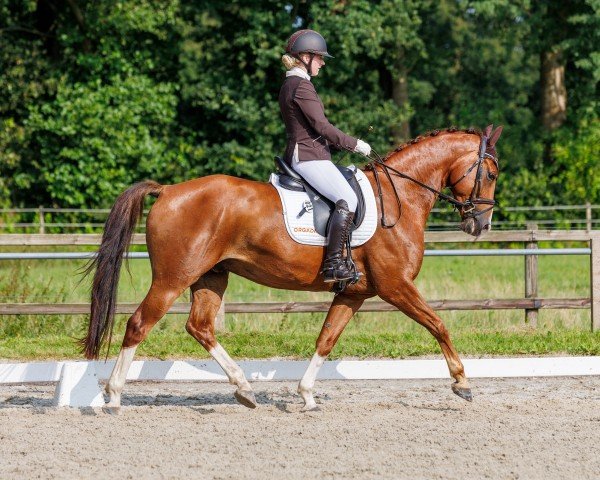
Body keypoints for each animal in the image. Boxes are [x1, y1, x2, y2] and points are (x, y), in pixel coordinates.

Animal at [81, 124, 502, 412]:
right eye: (492, 174)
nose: (481, 225)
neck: (400, 198)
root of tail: (168, 190)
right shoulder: (395, 286)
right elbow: (438, 324)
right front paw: (462, 382)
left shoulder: (354, 292)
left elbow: (326, 339)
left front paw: (307, 395)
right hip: (172, 278)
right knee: (139, 324)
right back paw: (113, 397)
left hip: (211, 276)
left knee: (199, 327)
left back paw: (244, 389)